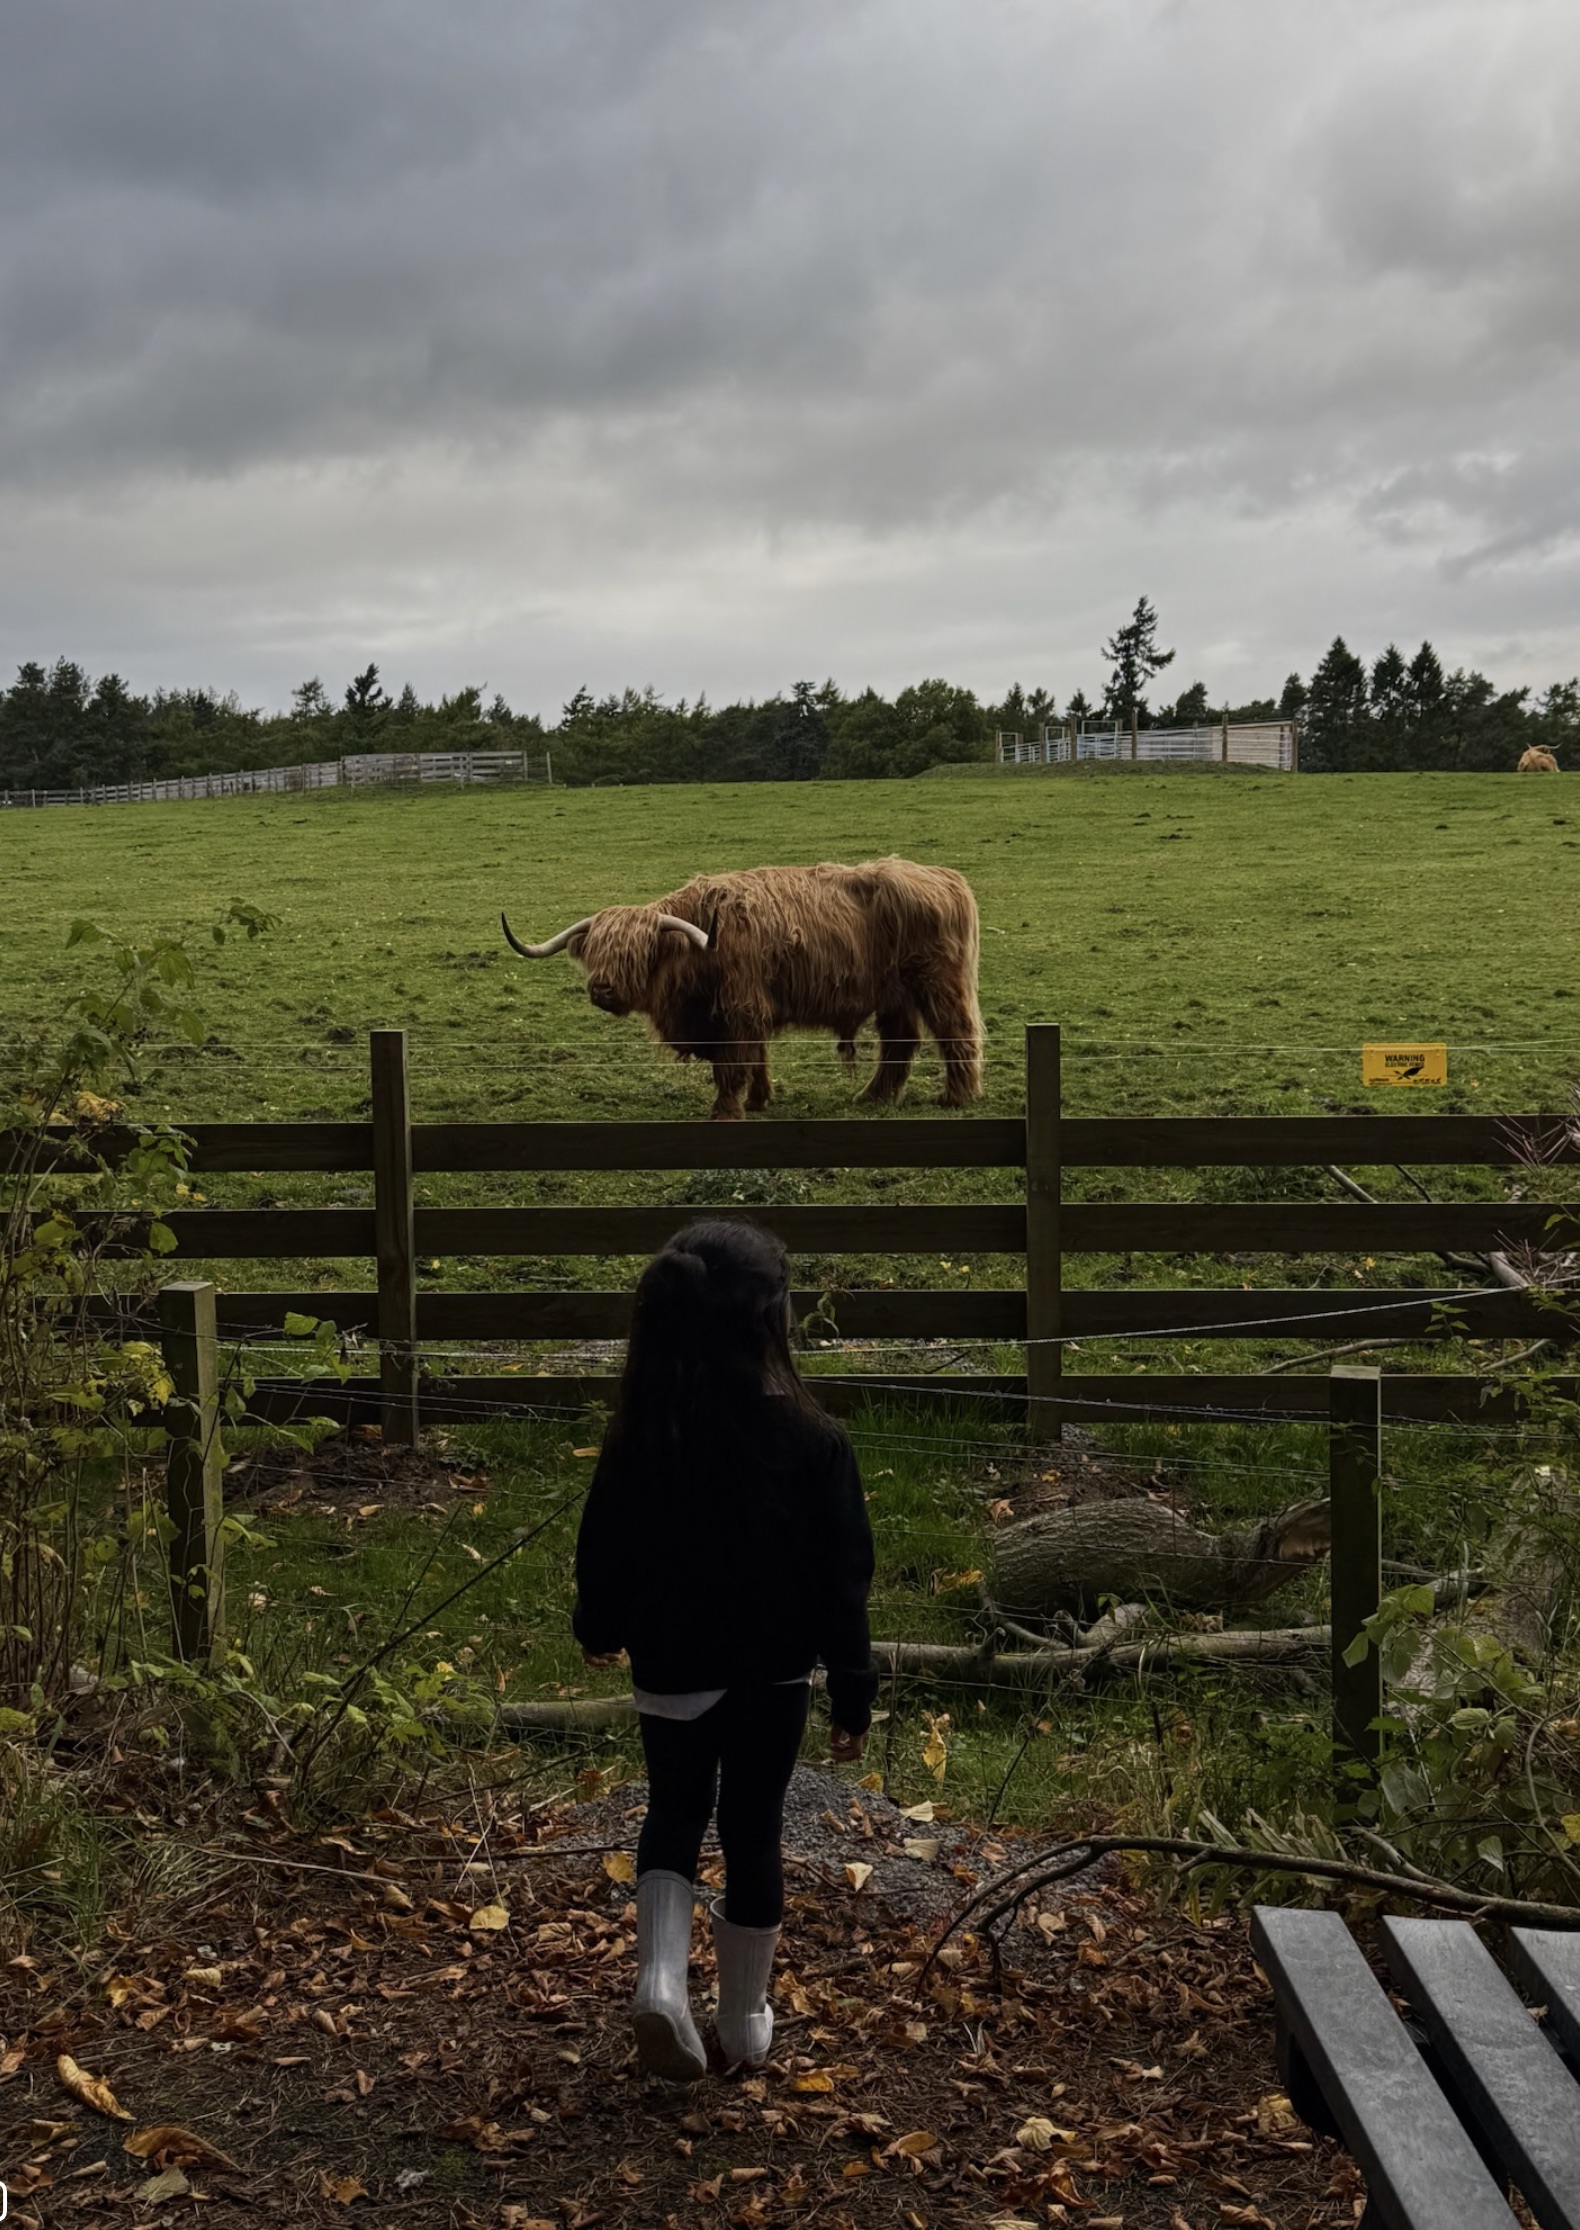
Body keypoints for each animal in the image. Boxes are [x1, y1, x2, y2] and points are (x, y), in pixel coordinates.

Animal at [501, 856, 983, 1119]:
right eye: (597, 953)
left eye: (636, 954)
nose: (602, 989)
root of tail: (946, 876)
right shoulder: (748, 1010)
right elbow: (756, 1059)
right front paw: (757, 1101)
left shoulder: (740, 1008)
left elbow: (732, 1065)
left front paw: (726, 1111)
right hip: (893, 995)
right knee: (899, 1042)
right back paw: (871, 1096)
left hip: (938, 982)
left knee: (956, 1032)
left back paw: (956, 1097)